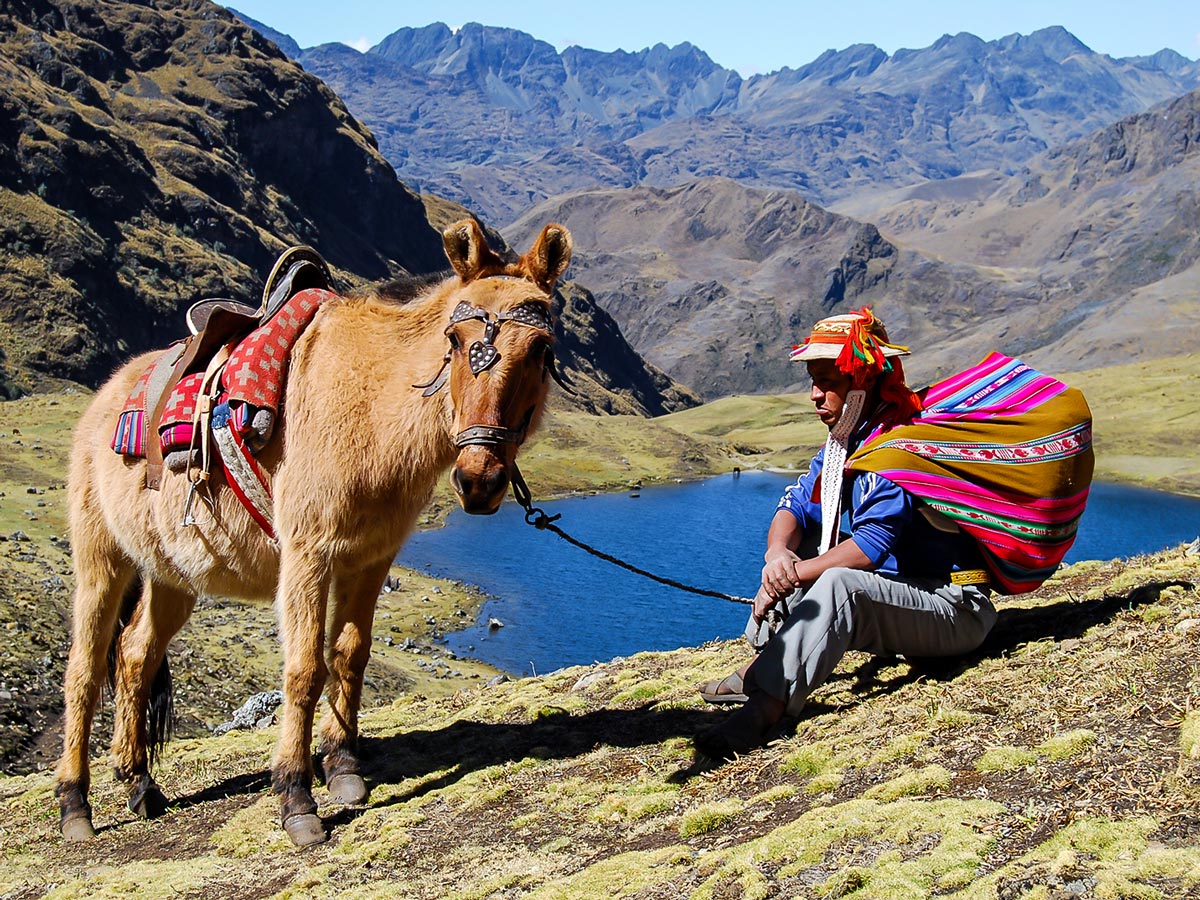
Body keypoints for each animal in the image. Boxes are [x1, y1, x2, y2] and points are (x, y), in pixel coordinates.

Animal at [58, 218, 573, 844]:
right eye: (454, 341)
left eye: (541, 349)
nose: (479, 480)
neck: (369, 409)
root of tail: (105, 399)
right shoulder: (306, 556)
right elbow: (305, 668)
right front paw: (297, 798)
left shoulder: (371, 559)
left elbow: (350, 654)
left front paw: (344, 768)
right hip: (101, 562)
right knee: (84, 671)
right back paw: (75, 804)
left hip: (172, 576)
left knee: (135, 656)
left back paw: (138, 783)